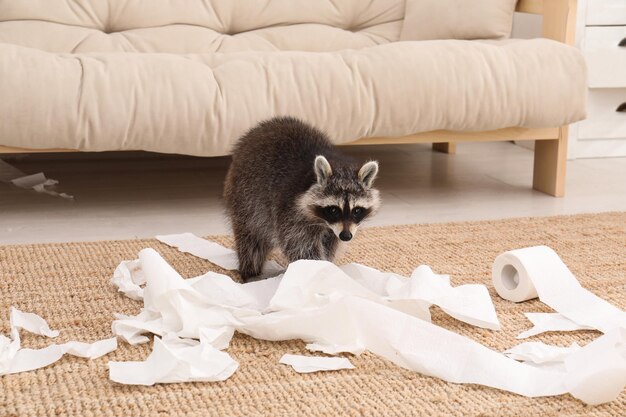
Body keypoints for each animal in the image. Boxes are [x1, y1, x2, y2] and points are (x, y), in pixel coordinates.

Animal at [224, 115, 380, 282]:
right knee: (251, 240)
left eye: (357, 210)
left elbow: (331, 244)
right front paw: (316, 270)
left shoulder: (335, 230)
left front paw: (328, 266)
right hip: (246, 198)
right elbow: (300, 247)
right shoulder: (290, 210)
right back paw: (250, 270)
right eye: (333, 210)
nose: (346, 236)